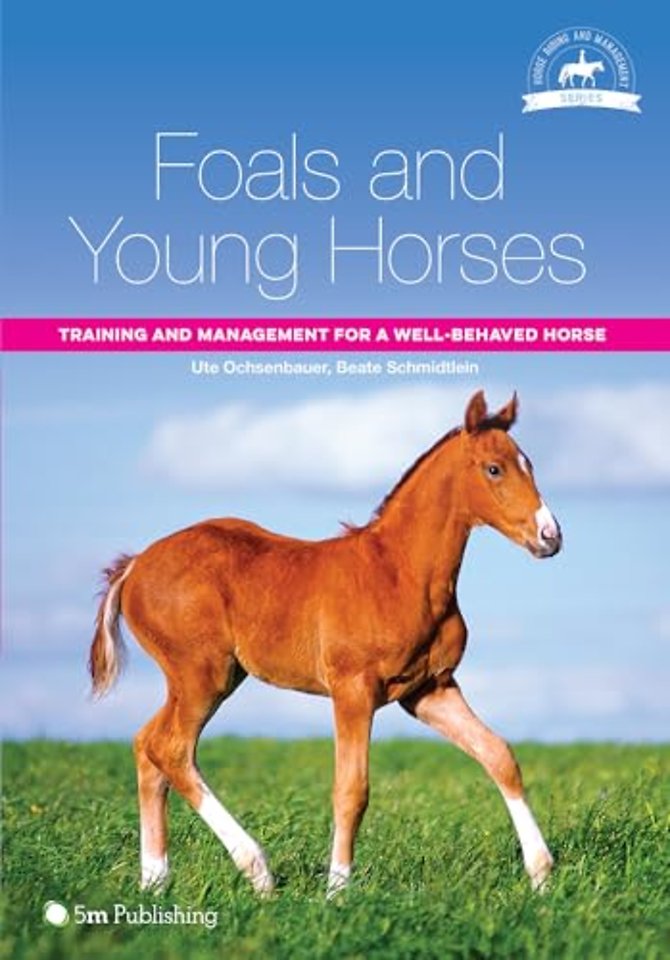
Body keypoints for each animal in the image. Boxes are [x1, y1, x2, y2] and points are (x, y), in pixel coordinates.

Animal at [89, 390, 562, 898]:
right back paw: (257, 870)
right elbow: (352, 789)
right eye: (494, 469)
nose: (550, 537)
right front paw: (337, 889)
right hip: (201, 674)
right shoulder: (353, 690)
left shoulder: (429, 689)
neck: (399, 572)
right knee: (170, 748)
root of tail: (135, 565)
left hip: (210, 677)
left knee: (147, 746)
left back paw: (155, 880)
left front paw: (541, 874)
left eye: (529, 463)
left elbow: (499, 755)